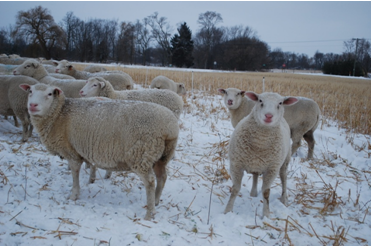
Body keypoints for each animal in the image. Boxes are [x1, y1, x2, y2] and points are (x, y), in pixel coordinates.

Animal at [20, 82, 180, 219]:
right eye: (30, 91)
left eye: (49, 94)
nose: (32, 105)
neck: (59, 114)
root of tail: (170, 127)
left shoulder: (72, 152)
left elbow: (75, 173)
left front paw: (74, 195)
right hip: (161, 156)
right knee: (162, 177)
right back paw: (157, 201)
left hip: (141, 155)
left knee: (150, 182)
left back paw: (149, 213)